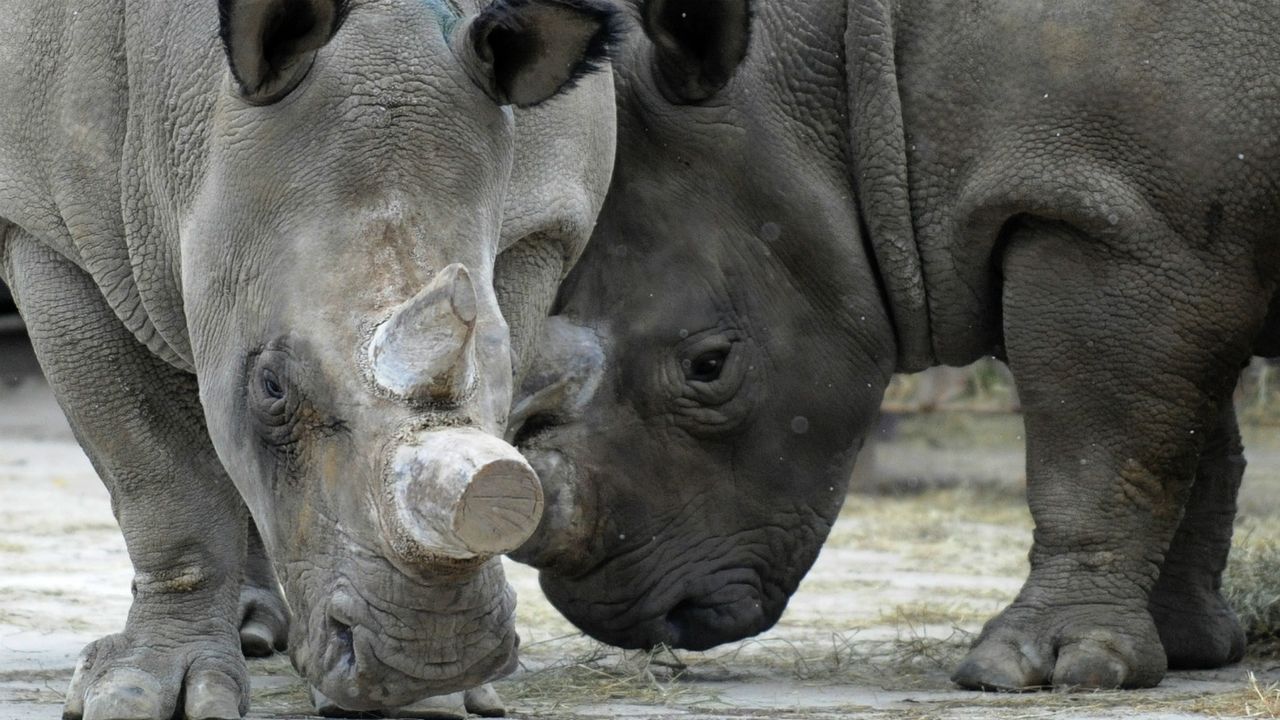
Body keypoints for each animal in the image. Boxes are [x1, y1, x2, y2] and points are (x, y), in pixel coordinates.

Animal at [0, 0, 619, 712]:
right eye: (271, 387)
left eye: (506, 365)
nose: (429, 657)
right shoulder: (40, 226)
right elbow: (157, 468)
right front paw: (141, 694)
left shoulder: (543, 219)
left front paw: (431, 700)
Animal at [509, 0, 1280, 691]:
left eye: (709, 365)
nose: (620, 615)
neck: (850, 98)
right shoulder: (1161, 236)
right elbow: (1186, 439)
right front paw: (1185, 650)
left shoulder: (1108, 218)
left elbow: (1097, 447)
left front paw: (1050, 670)